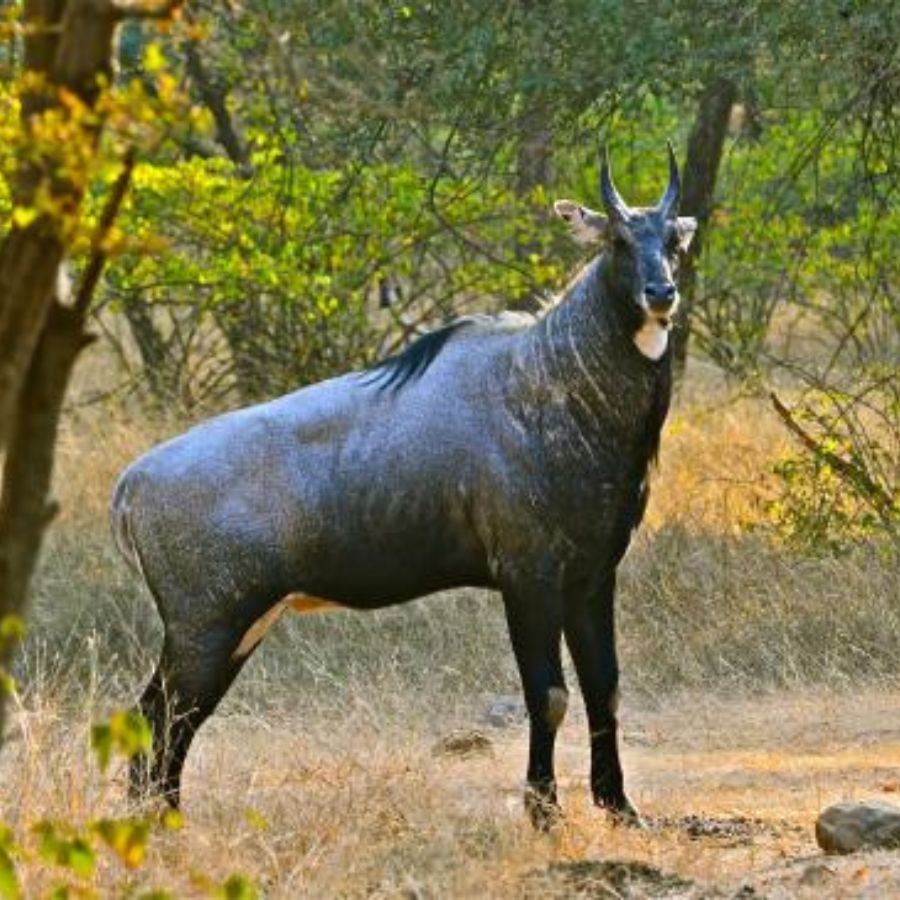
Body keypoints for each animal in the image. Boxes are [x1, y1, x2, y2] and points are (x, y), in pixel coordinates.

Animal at [112, 144, 696, 828]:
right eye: (619, 241)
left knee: (171, 716)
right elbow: (548, 695)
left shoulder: (591, 576)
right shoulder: (528, 576)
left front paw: (620, 806)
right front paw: (543, 813)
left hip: (235, 627)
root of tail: (131, 484)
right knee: (161, 713)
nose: (661, 293)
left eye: (673, 240)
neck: (551, 377)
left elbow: (607, 688)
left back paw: (164, 825)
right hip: (206, 627)